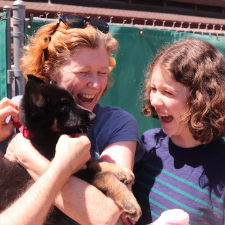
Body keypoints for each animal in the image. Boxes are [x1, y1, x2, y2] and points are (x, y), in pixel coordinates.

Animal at [0, 76, 142, 224]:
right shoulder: (74, 174)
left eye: (73, 101)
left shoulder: (81, 163)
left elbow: (96, 163)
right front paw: (129, 201)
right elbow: (104, 176)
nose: (94, 117)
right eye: (64, 107)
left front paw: (121, 170)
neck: (47, 137)